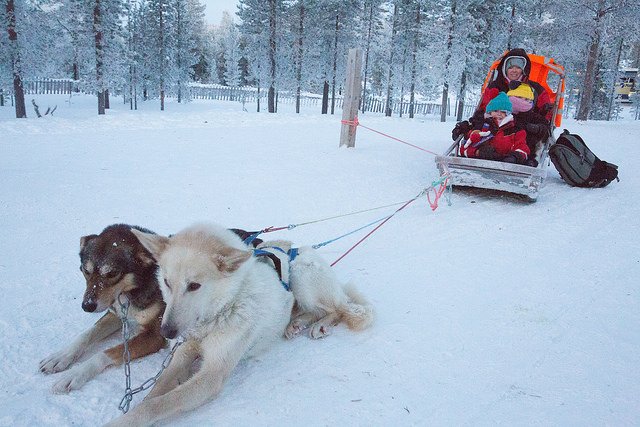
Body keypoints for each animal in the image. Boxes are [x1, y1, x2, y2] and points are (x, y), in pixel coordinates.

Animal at [106, 226, 376, 426]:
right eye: (166, 282)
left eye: (194, 286)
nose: (167, 331)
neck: (216, 316)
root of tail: (299, 247)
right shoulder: (183, 352)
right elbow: (156, 391)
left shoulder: (212, 375)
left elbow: (159, 403)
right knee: (308, 309)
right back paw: (295, 322)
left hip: (302, 277)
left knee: (337, 308)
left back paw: (321, 324)